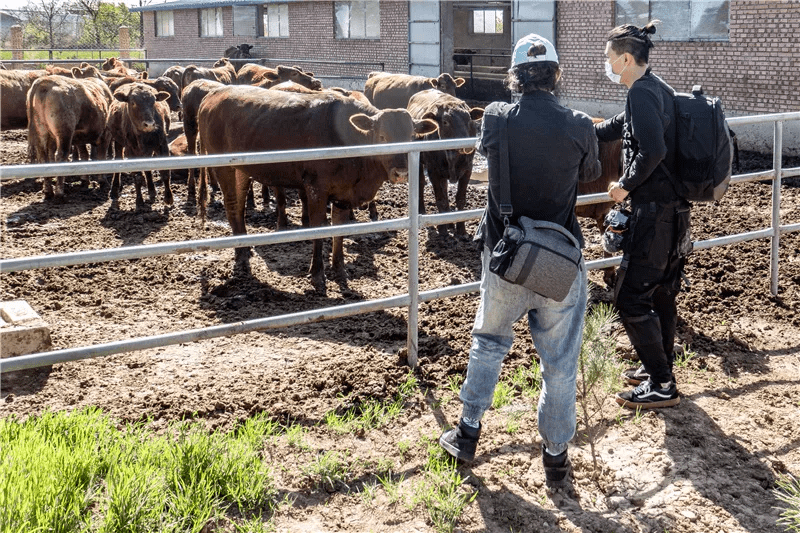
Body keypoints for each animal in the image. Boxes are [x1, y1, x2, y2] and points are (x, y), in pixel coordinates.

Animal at [27, 68, 112, 202]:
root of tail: (44, 82)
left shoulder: (79, 138)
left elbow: (84, 155)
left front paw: (85, 180)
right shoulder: (105, 134)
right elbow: (101, 156)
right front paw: (103, 181)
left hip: (41, 132)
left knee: (43, 157)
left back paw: (48, 191)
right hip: (64, 132)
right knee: (61, 155)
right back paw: (59, 194)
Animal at [198, 85, 438, 288]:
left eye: (411, 136)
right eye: (382, 136)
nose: (402, 172)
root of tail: (214, 94)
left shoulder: (343, 193)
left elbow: (339, 230)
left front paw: (339, 269)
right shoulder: (316, 189)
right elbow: (318, 229)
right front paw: (317, 273)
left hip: (241, 170)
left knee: (239, 206)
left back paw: (245, 248)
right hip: (223, 167)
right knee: (231, 205)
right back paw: (240, 256)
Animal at [410, 89, 484, 235]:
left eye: (469, 120)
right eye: (445, 122)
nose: (466, 145)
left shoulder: (468, 170)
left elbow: (460, 199)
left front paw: (461, 230)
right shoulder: (433, 171)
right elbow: (441, 199)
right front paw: (443, 230)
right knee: (421, 183)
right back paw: (423, 211)